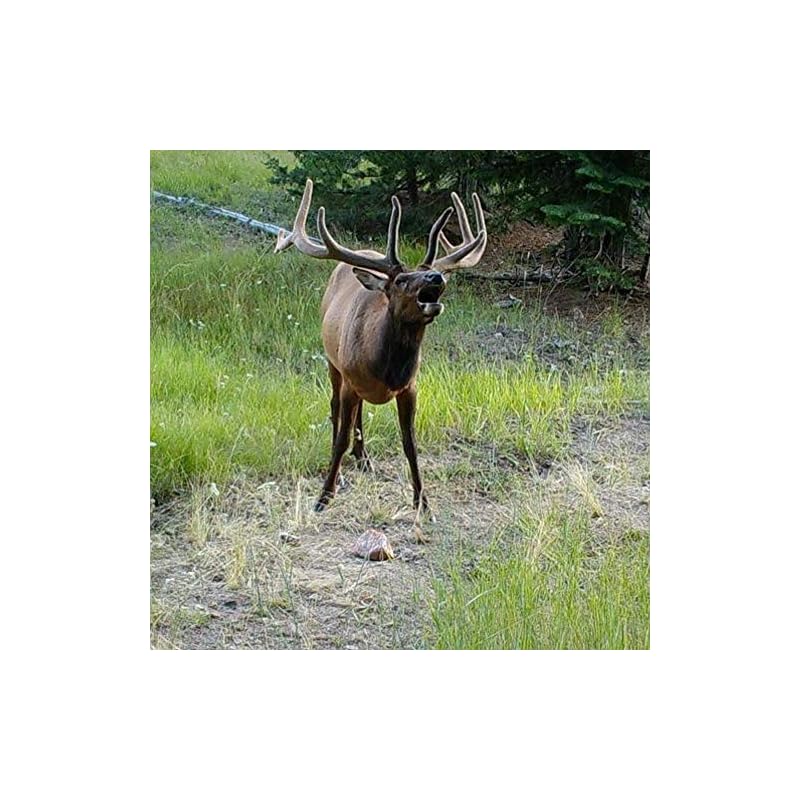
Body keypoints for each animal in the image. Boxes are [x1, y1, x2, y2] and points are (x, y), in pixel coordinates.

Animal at [275, 179, 487, 516]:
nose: (436, 276)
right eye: (400, 280)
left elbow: (410, 443)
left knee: (359, 413)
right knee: (335, 408)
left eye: (429, 273)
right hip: (333, 362)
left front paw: (422, 502)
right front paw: (324, 496)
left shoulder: (410, 386)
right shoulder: (349, 379)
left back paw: (363, 457)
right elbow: (340, 437)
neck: (386, 369)